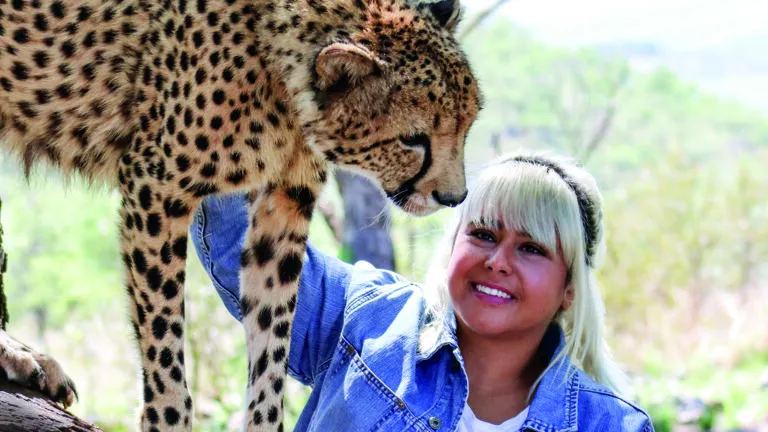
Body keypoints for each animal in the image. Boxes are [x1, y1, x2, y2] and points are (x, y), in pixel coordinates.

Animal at [0, 0, 480, 428]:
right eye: (412, 139)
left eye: (468, 125)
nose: (454, 196)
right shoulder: (155, 186)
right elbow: (164, 340)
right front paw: (167, 419)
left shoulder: (285, 208)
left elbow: (272, 336)